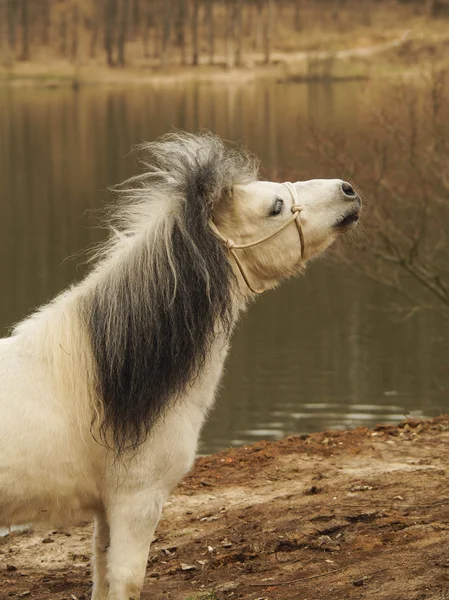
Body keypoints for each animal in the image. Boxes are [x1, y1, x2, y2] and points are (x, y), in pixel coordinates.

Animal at [0, 134, 358, 596]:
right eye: (275, 206)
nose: (348, 190)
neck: (107, 376)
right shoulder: (137, 502)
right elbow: (127, 581)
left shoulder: (107, 510)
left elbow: (101, 575)